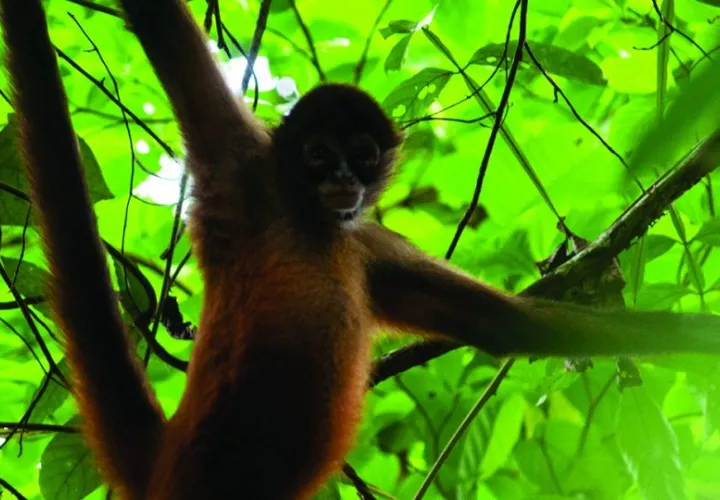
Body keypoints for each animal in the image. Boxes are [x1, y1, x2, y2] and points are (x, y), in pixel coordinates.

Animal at [3, 0, 720, 499]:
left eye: (364, 154)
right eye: (320, 154)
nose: (345, 179)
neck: (309, 221)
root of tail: (167, 452)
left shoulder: (364, 243)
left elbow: (504, 324)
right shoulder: (239, 164)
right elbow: (161, 27)